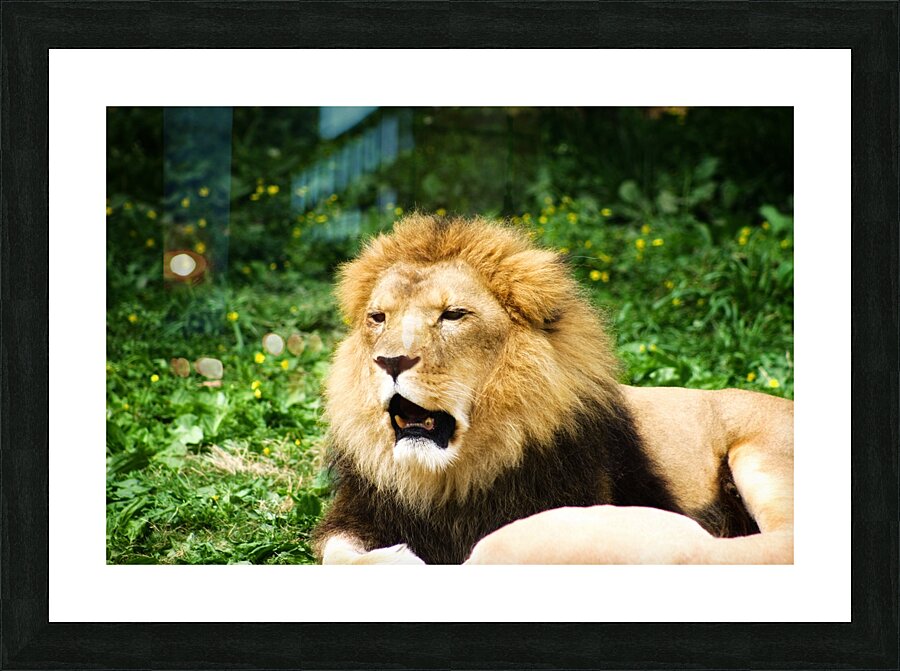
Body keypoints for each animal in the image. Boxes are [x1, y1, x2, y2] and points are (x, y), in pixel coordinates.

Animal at [312, 214, 793, 565]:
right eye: (378, 318)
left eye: (453, 315)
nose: (391, 361)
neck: (450, 479)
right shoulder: (360, 514)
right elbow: (335, 553)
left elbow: (496, 545)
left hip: (763, 456)